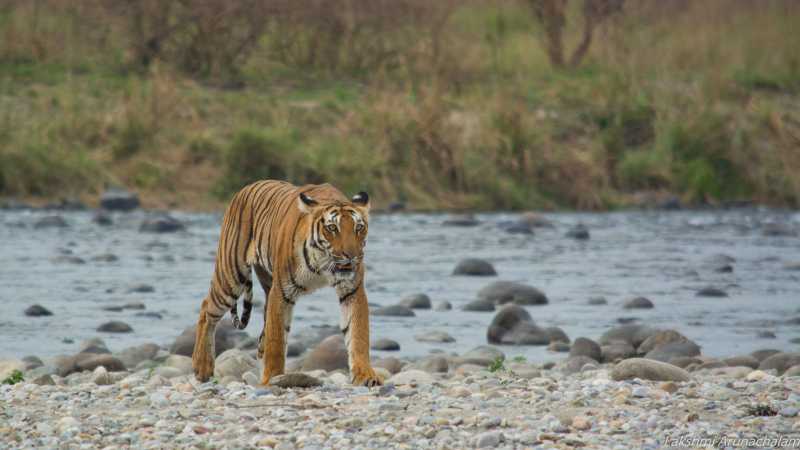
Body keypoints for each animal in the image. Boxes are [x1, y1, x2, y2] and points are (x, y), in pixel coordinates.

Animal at [191, 180, 383, 387]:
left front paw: (366, 375)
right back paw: (201, 367)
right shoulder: (282, 292)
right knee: (206, 308)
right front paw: (272, 378)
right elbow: (276, 340)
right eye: (332, 228)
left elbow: (358, 332)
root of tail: (245, 188)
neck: (323, 263)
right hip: (232, 275)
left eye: (359, 228)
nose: (352, 256)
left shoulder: (352, 290)